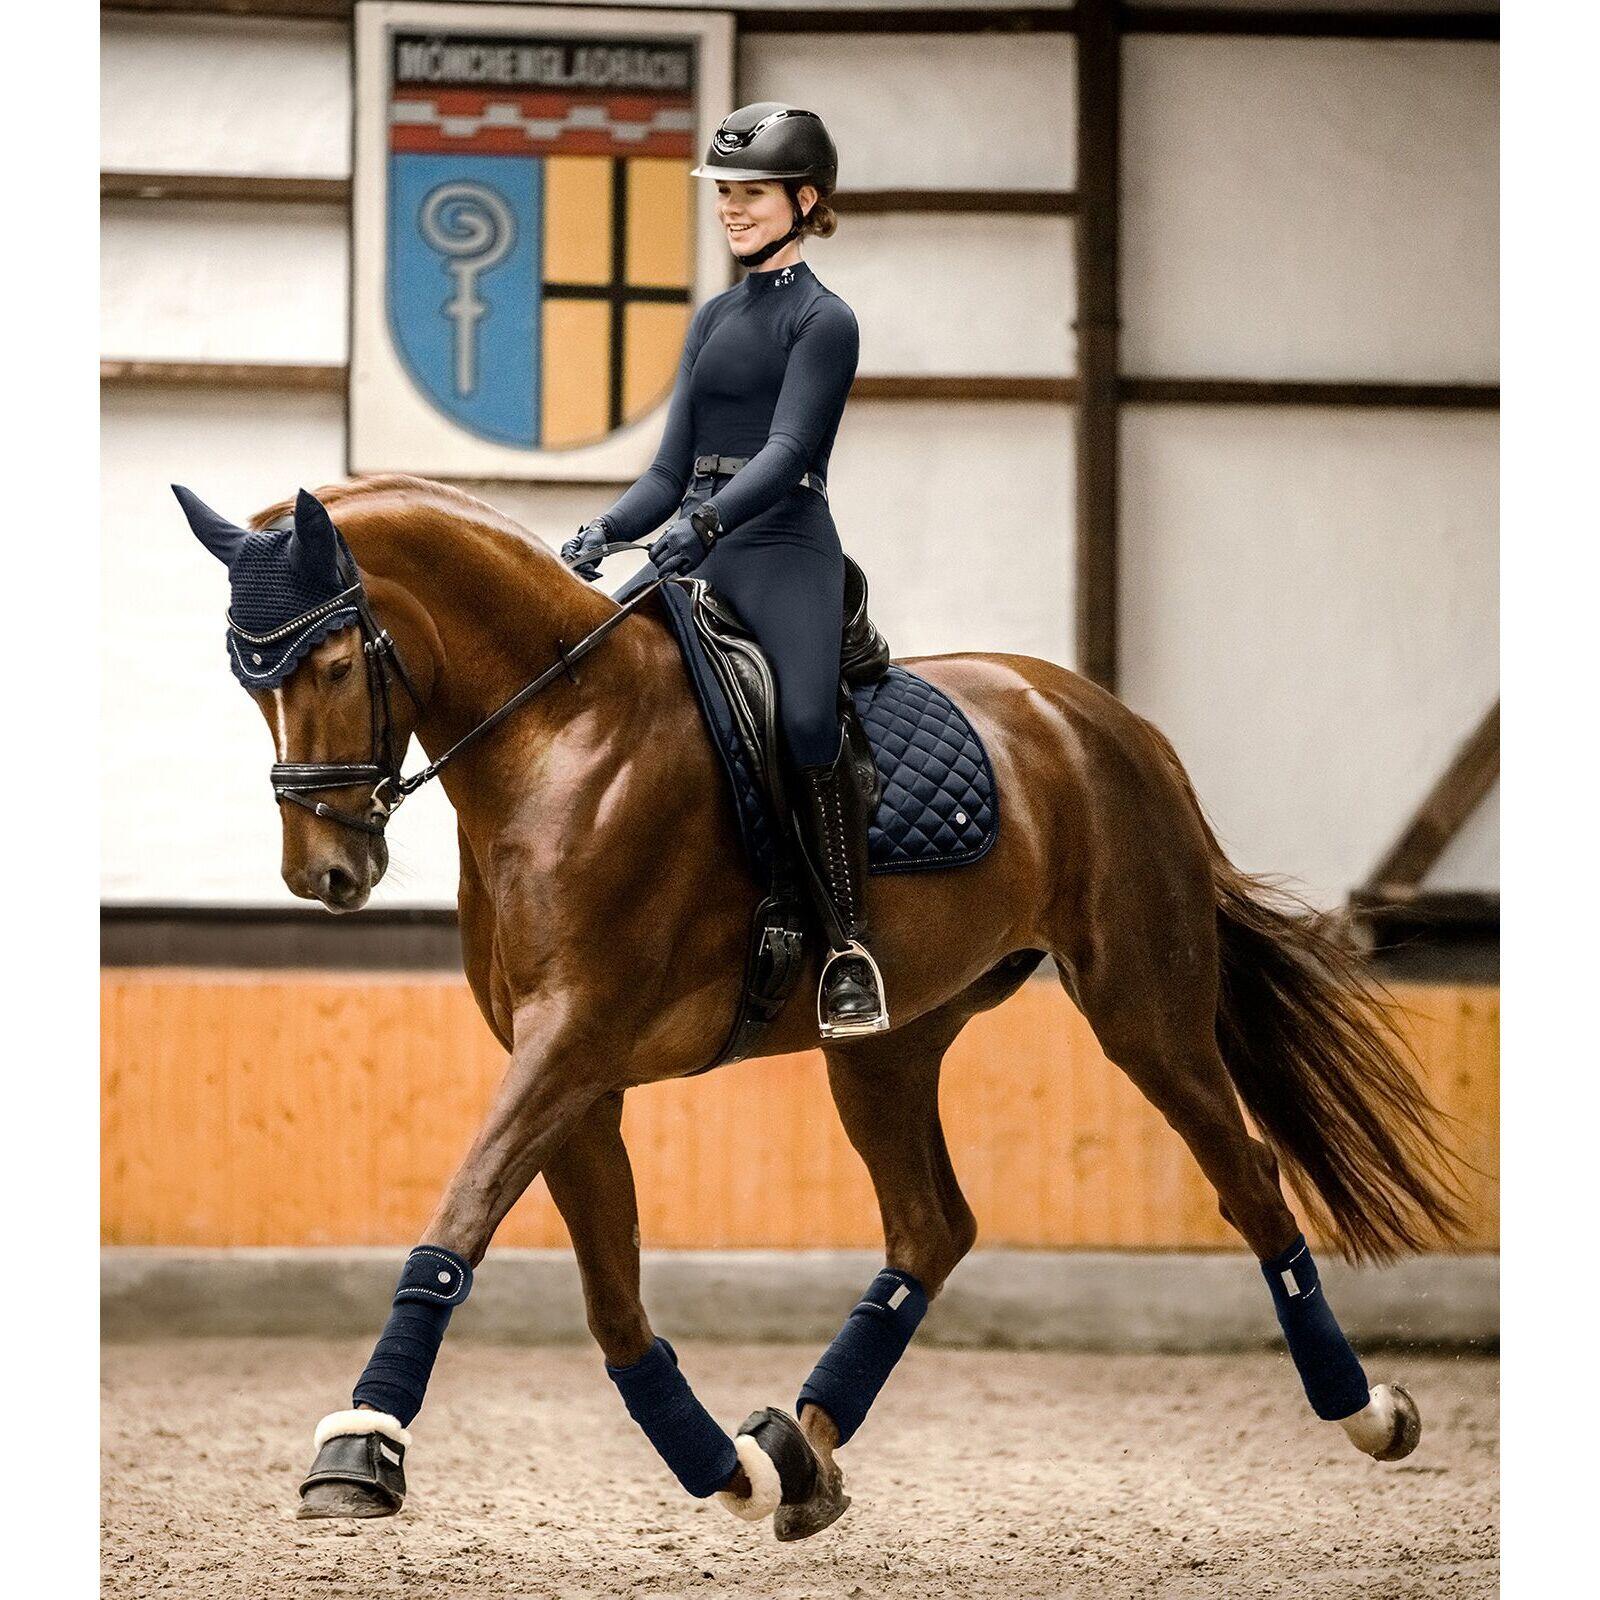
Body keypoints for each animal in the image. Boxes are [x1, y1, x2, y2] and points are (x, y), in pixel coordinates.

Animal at [176, 472, 1461, 1538]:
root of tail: (1110, 721)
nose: (324, 874)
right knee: (931, 1225)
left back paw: (1367, 1411)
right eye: (249, 685)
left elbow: (455, 1224)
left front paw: (360, 1450)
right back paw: (801, 1448)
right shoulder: (575, 1073)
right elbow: (612, 1302)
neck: (559, 736)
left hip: (1144, 1007)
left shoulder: (570, 1040)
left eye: (334, 666)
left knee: (1246, 1180)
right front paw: (731, 1472)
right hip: (888, 1043)